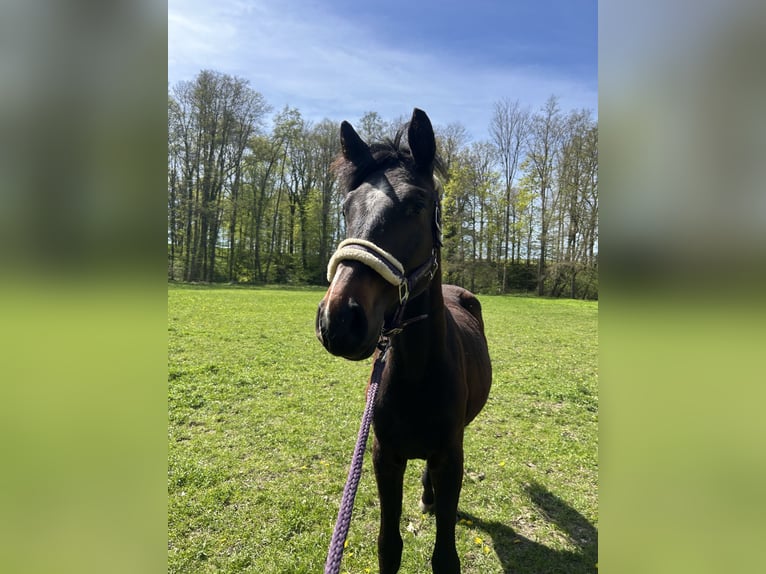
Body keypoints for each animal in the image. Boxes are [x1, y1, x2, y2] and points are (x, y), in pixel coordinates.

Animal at [316, 108, 492, 573]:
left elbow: (445, 556)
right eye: (346, 208)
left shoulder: (450, 456)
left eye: (416, 205)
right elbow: (388, 546)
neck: (416, 373)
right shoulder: (384, 457)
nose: (339, 320)